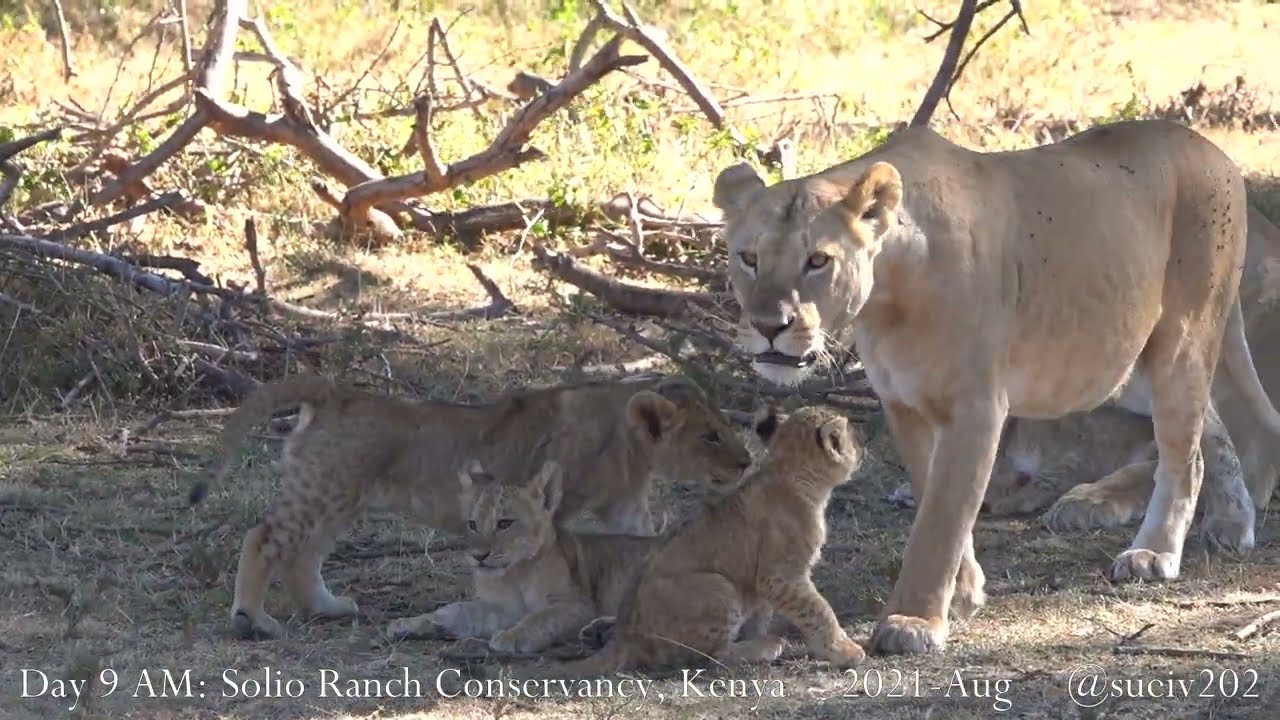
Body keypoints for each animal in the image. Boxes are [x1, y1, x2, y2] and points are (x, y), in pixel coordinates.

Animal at [188, 373, 753, 639]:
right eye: (711, 435)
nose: (748, 461)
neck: (628, 440)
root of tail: (334, 391)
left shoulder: (624, 506)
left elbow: (644, 543)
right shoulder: (553, 502)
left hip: (340, 498)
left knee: (304, 556)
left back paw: (328, 608)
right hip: (323, 491)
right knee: (264, 538)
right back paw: (252, 620)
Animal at [525, 405, 866, 678]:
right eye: (852, 436)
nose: (863, 448)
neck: (793, 475)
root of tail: (625, 635)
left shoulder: (764, 582)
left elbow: (764, 613)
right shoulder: (781, 575)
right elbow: (818, 610)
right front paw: (845, 651)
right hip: (719, 588)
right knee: (711, 657)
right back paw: (766, 647)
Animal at [711, 119, 1280, 655]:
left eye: (818, 260)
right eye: (748, 257)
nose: (768, 326)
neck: (888, 296)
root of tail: (1216, 154)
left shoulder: (977, 408)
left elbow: (940, 518)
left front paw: (914, 620)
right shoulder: (905, 406)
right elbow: (933, 495)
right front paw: (962, 594)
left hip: (1179, 338)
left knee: (1185, 451)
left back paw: (1156, 551)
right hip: (1123, 357)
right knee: (1219, 430)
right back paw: (1233, 520)